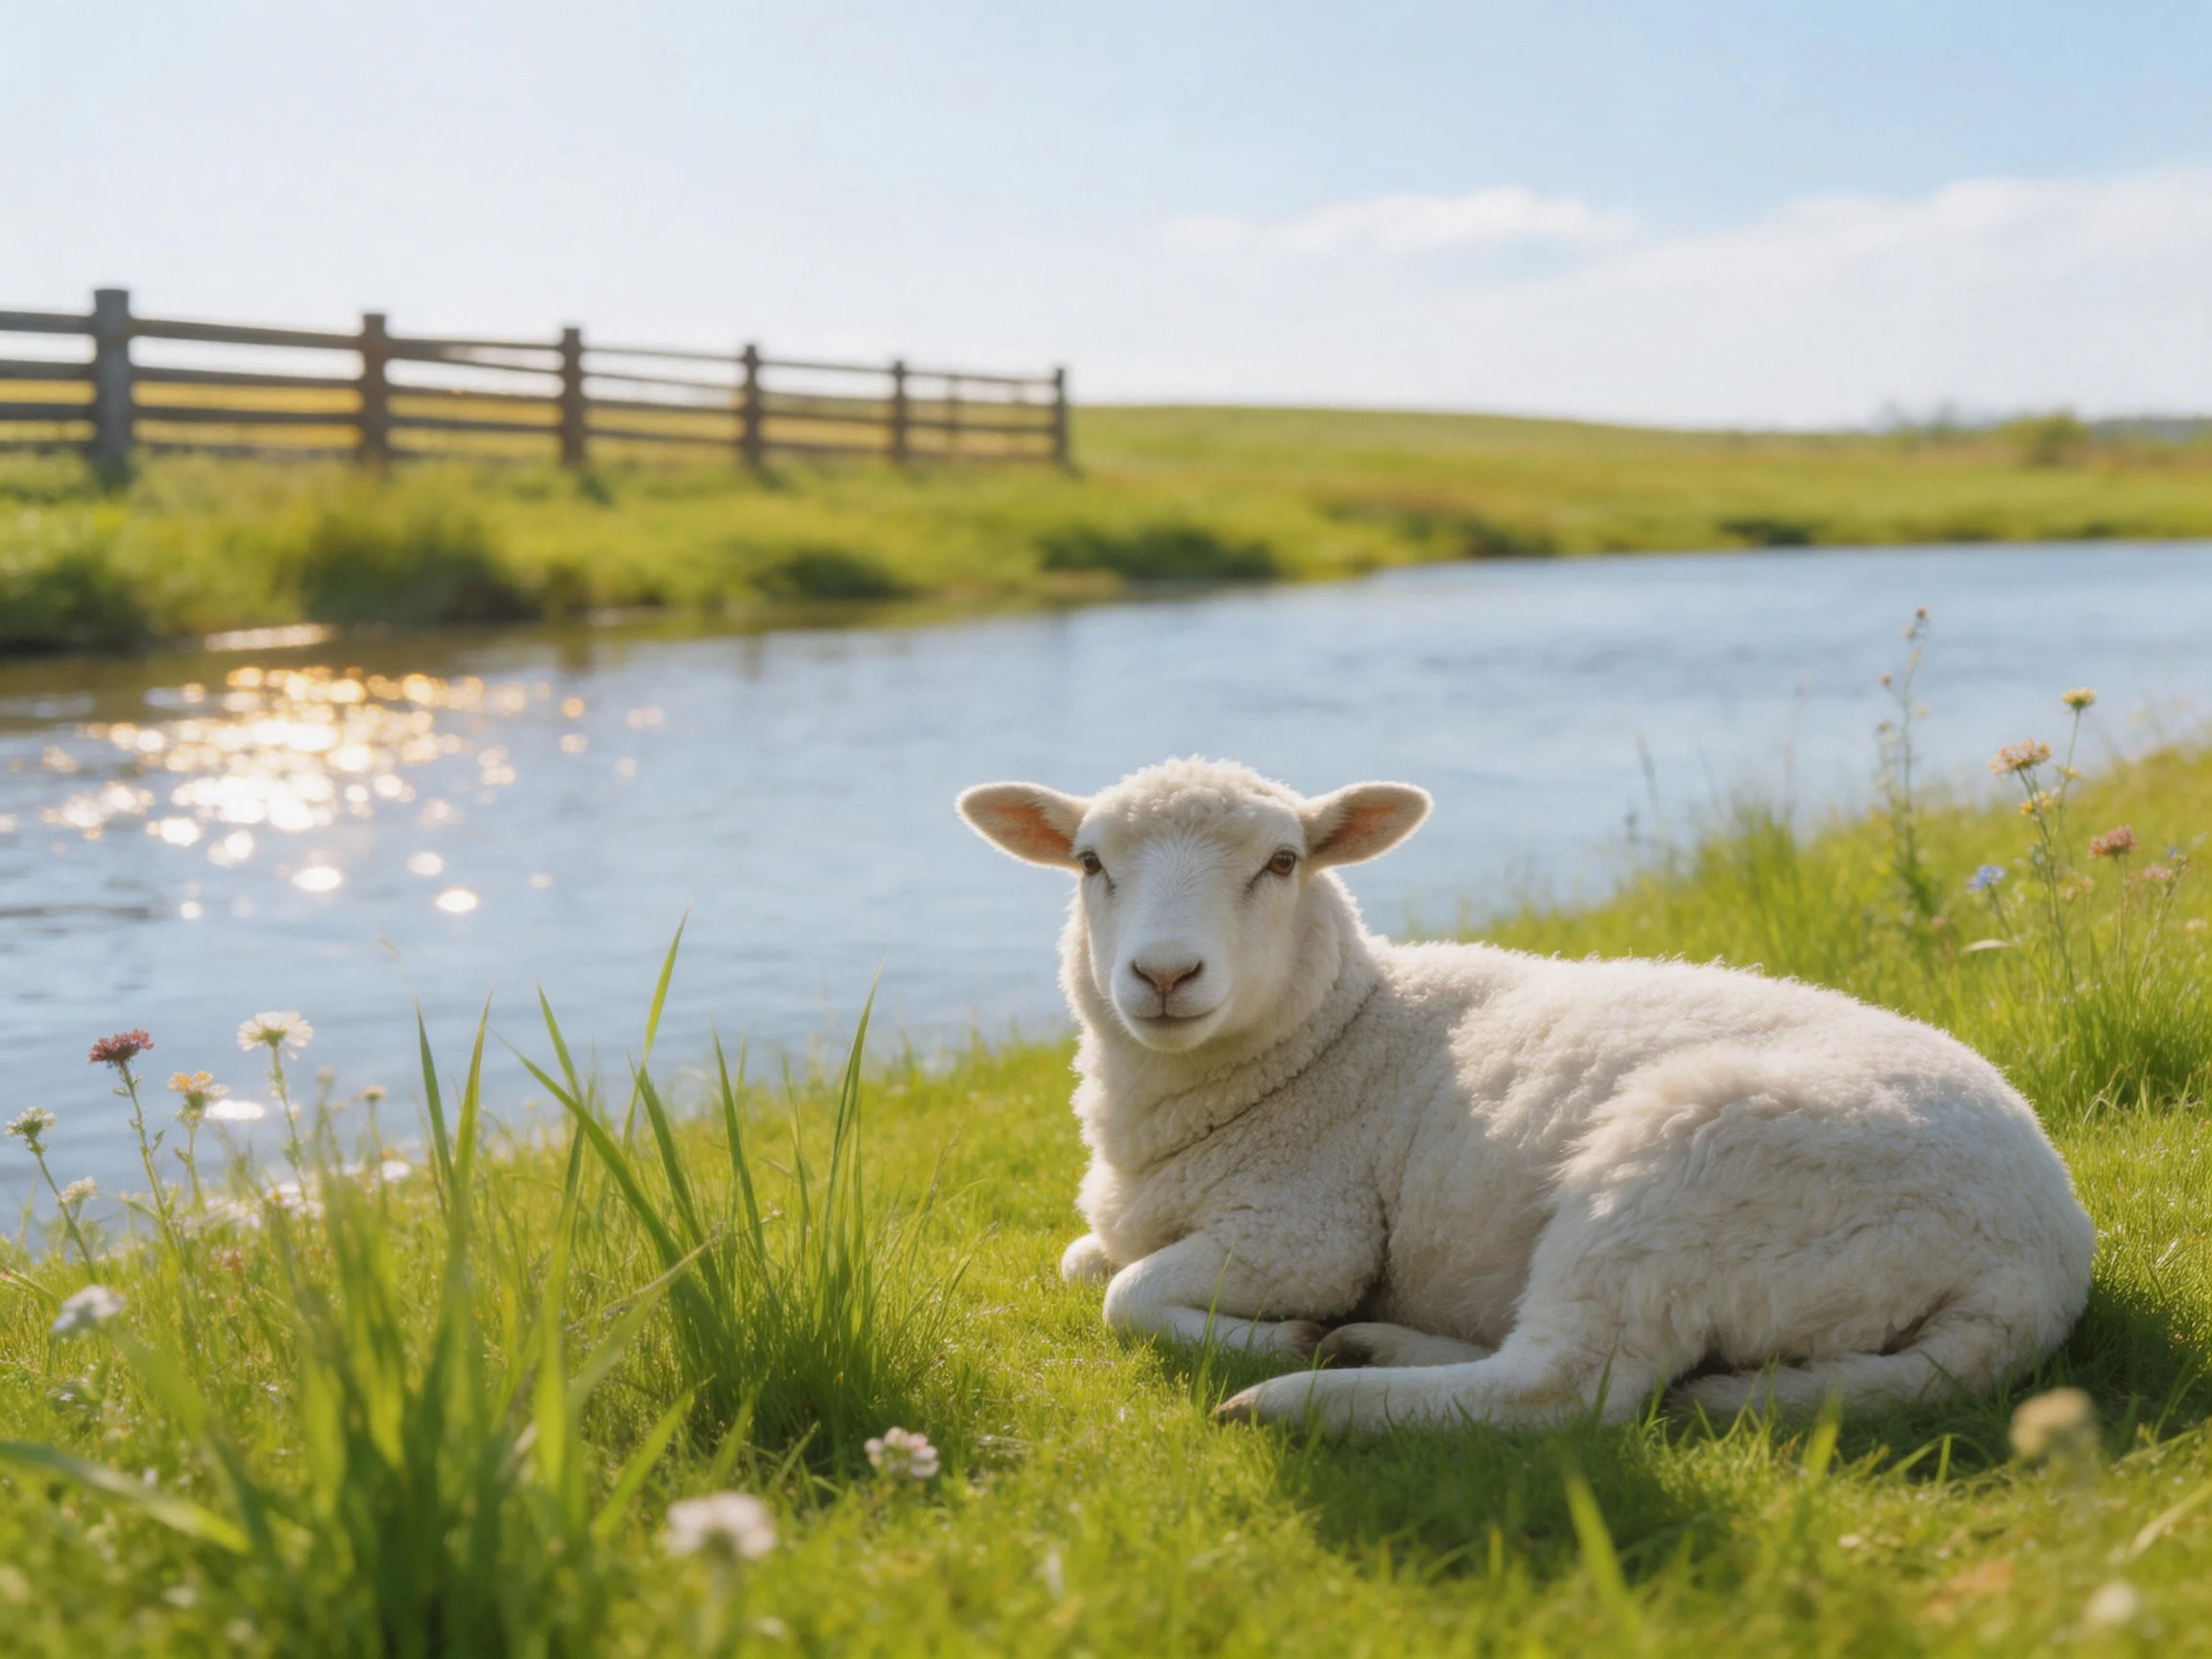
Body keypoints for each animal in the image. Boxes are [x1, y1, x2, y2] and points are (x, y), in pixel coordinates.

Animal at [956, 757, 2096, 1433]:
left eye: (1282, 862)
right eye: (1089, 862)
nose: (1163, 974)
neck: (1331, 1038)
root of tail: (2036, 1264)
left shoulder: (1306, 1228)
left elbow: (1124, 1296)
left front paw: (1276, 1336)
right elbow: (1083, 1265)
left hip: (1685, 1181)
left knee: (1562, 1387)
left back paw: (1305, 1391)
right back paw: (1376, 1344)